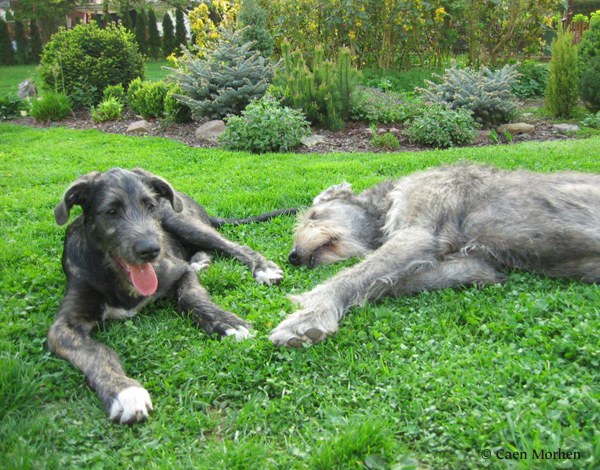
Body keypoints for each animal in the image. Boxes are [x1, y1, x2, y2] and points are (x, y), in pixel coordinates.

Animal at [270, 163, 600, 346]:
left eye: (314, 215)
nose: (293, 256)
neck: (385, 205)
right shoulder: (473, 260)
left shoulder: (419, 230)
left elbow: (354, 275)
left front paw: (310, 314)